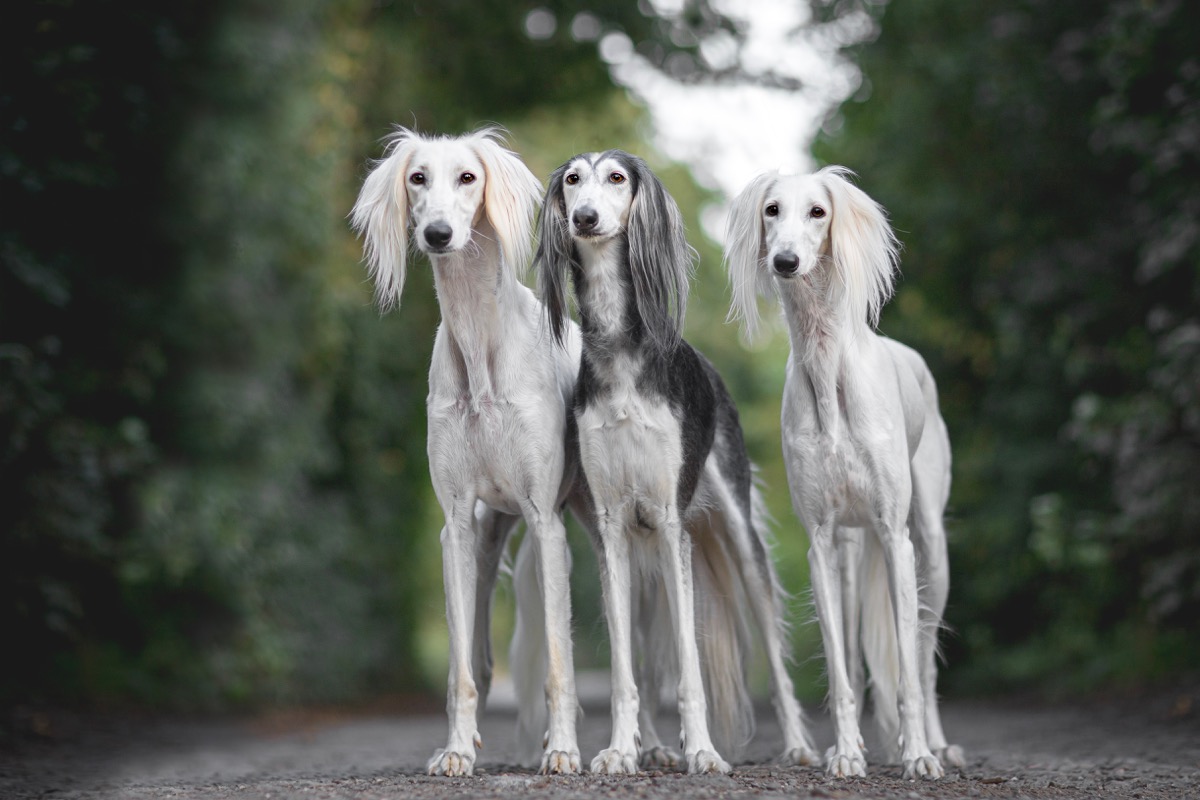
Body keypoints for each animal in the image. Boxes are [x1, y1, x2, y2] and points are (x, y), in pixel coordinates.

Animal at [350, 126, 583, 777]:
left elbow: (559, 661)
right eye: (416, 178)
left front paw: (563, 751)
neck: (480, 343)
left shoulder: (545, 519)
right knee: (477, 653)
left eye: (468, 178)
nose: (437, 234)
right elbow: (460, 666)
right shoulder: (455, 523)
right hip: (489, 535)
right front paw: (455, 750)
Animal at [540, 149, 820, 777]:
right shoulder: (613, 529)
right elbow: (623, 670)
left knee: (775, 653)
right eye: (572, 180)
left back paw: (798, 744)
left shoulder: (671, 524)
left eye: (617, 178)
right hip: (641, 564)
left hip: (739, 537)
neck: (620, 354)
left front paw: (704, 752)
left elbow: (692, 668)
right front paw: (619, 751)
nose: (585, 218)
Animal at [720, 165, 964, 777]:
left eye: (818, 212)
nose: (785, 261)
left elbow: (906, 666)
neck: (829, 369)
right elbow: (837, 662)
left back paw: (936, 743)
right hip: (853, 553)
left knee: (923, 656)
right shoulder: (822, 541)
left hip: (929, 545)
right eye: (772, 210)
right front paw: (848, 752)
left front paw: (917, 755)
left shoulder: (895, 537)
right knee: (855, 657)